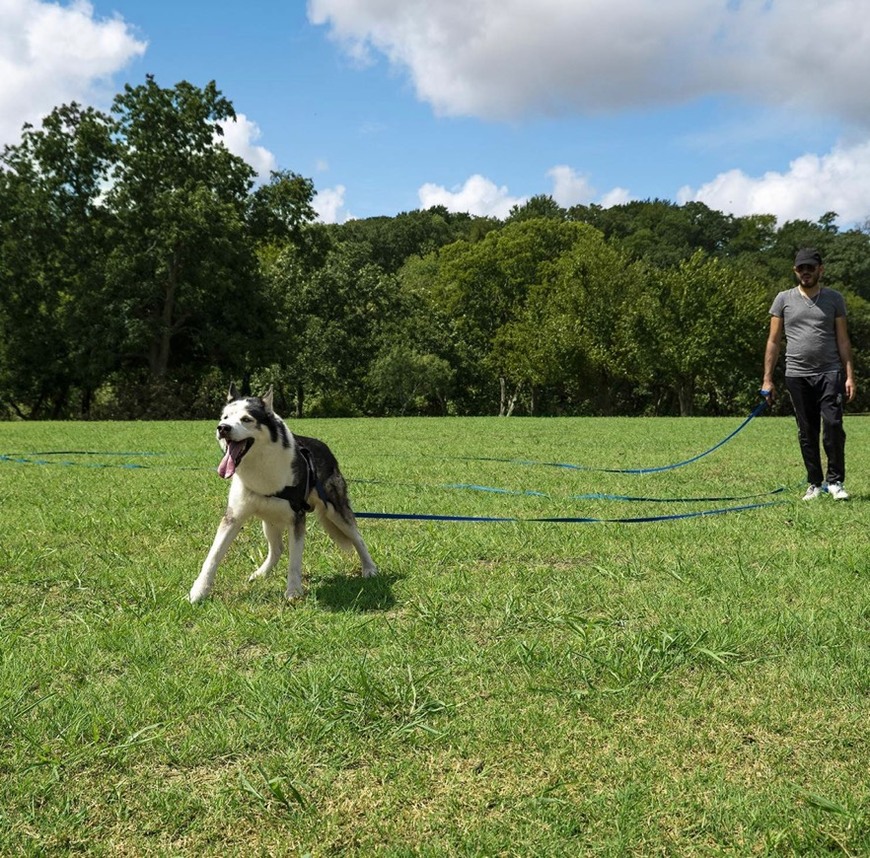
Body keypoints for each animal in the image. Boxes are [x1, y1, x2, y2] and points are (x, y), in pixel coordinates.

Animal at [187, 384, 378, 600]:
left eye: (246, 419)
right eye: (225, 417)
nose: (223, 428)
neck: (260, 466)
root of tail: (326, 448)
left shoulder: (297, 518)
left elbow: (294, 561)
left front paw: (293, 590)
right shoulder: (233, 517)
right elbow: (213, 555)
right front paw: (199, 590)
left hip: (335, 512)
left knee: (357, 538)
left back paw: (369, 568)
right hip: (269, 520)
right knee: (277, 549)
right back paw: (261, 573)